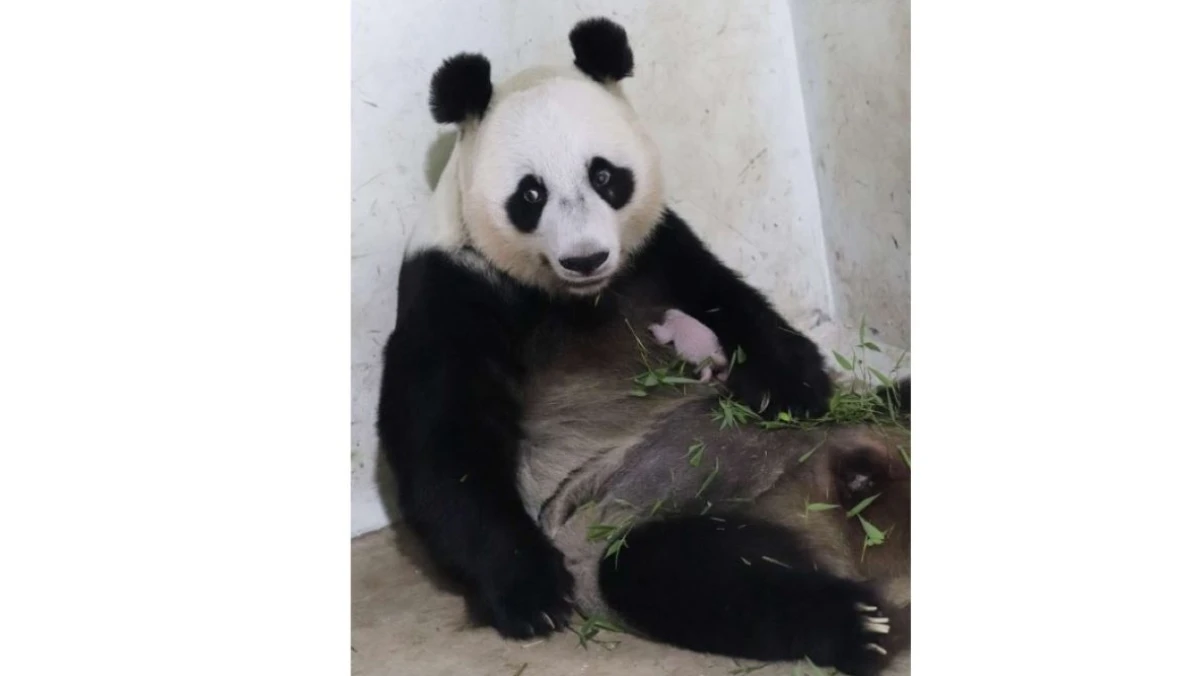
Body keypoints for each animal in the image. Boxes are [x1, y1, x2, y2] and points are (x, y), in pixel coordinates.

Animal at [376, 17, 911, 676]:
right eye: (530, 195)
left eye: (604, 176)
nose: (585, 257)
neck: (576, 298)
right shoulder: (453, 285)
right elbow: (445, 444)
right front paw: (532, 595)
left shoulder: (657, 250)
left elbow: (732, 302)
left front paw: (791, 389)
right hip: (636, 521)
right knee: (687, 575)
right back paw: (858, 625)